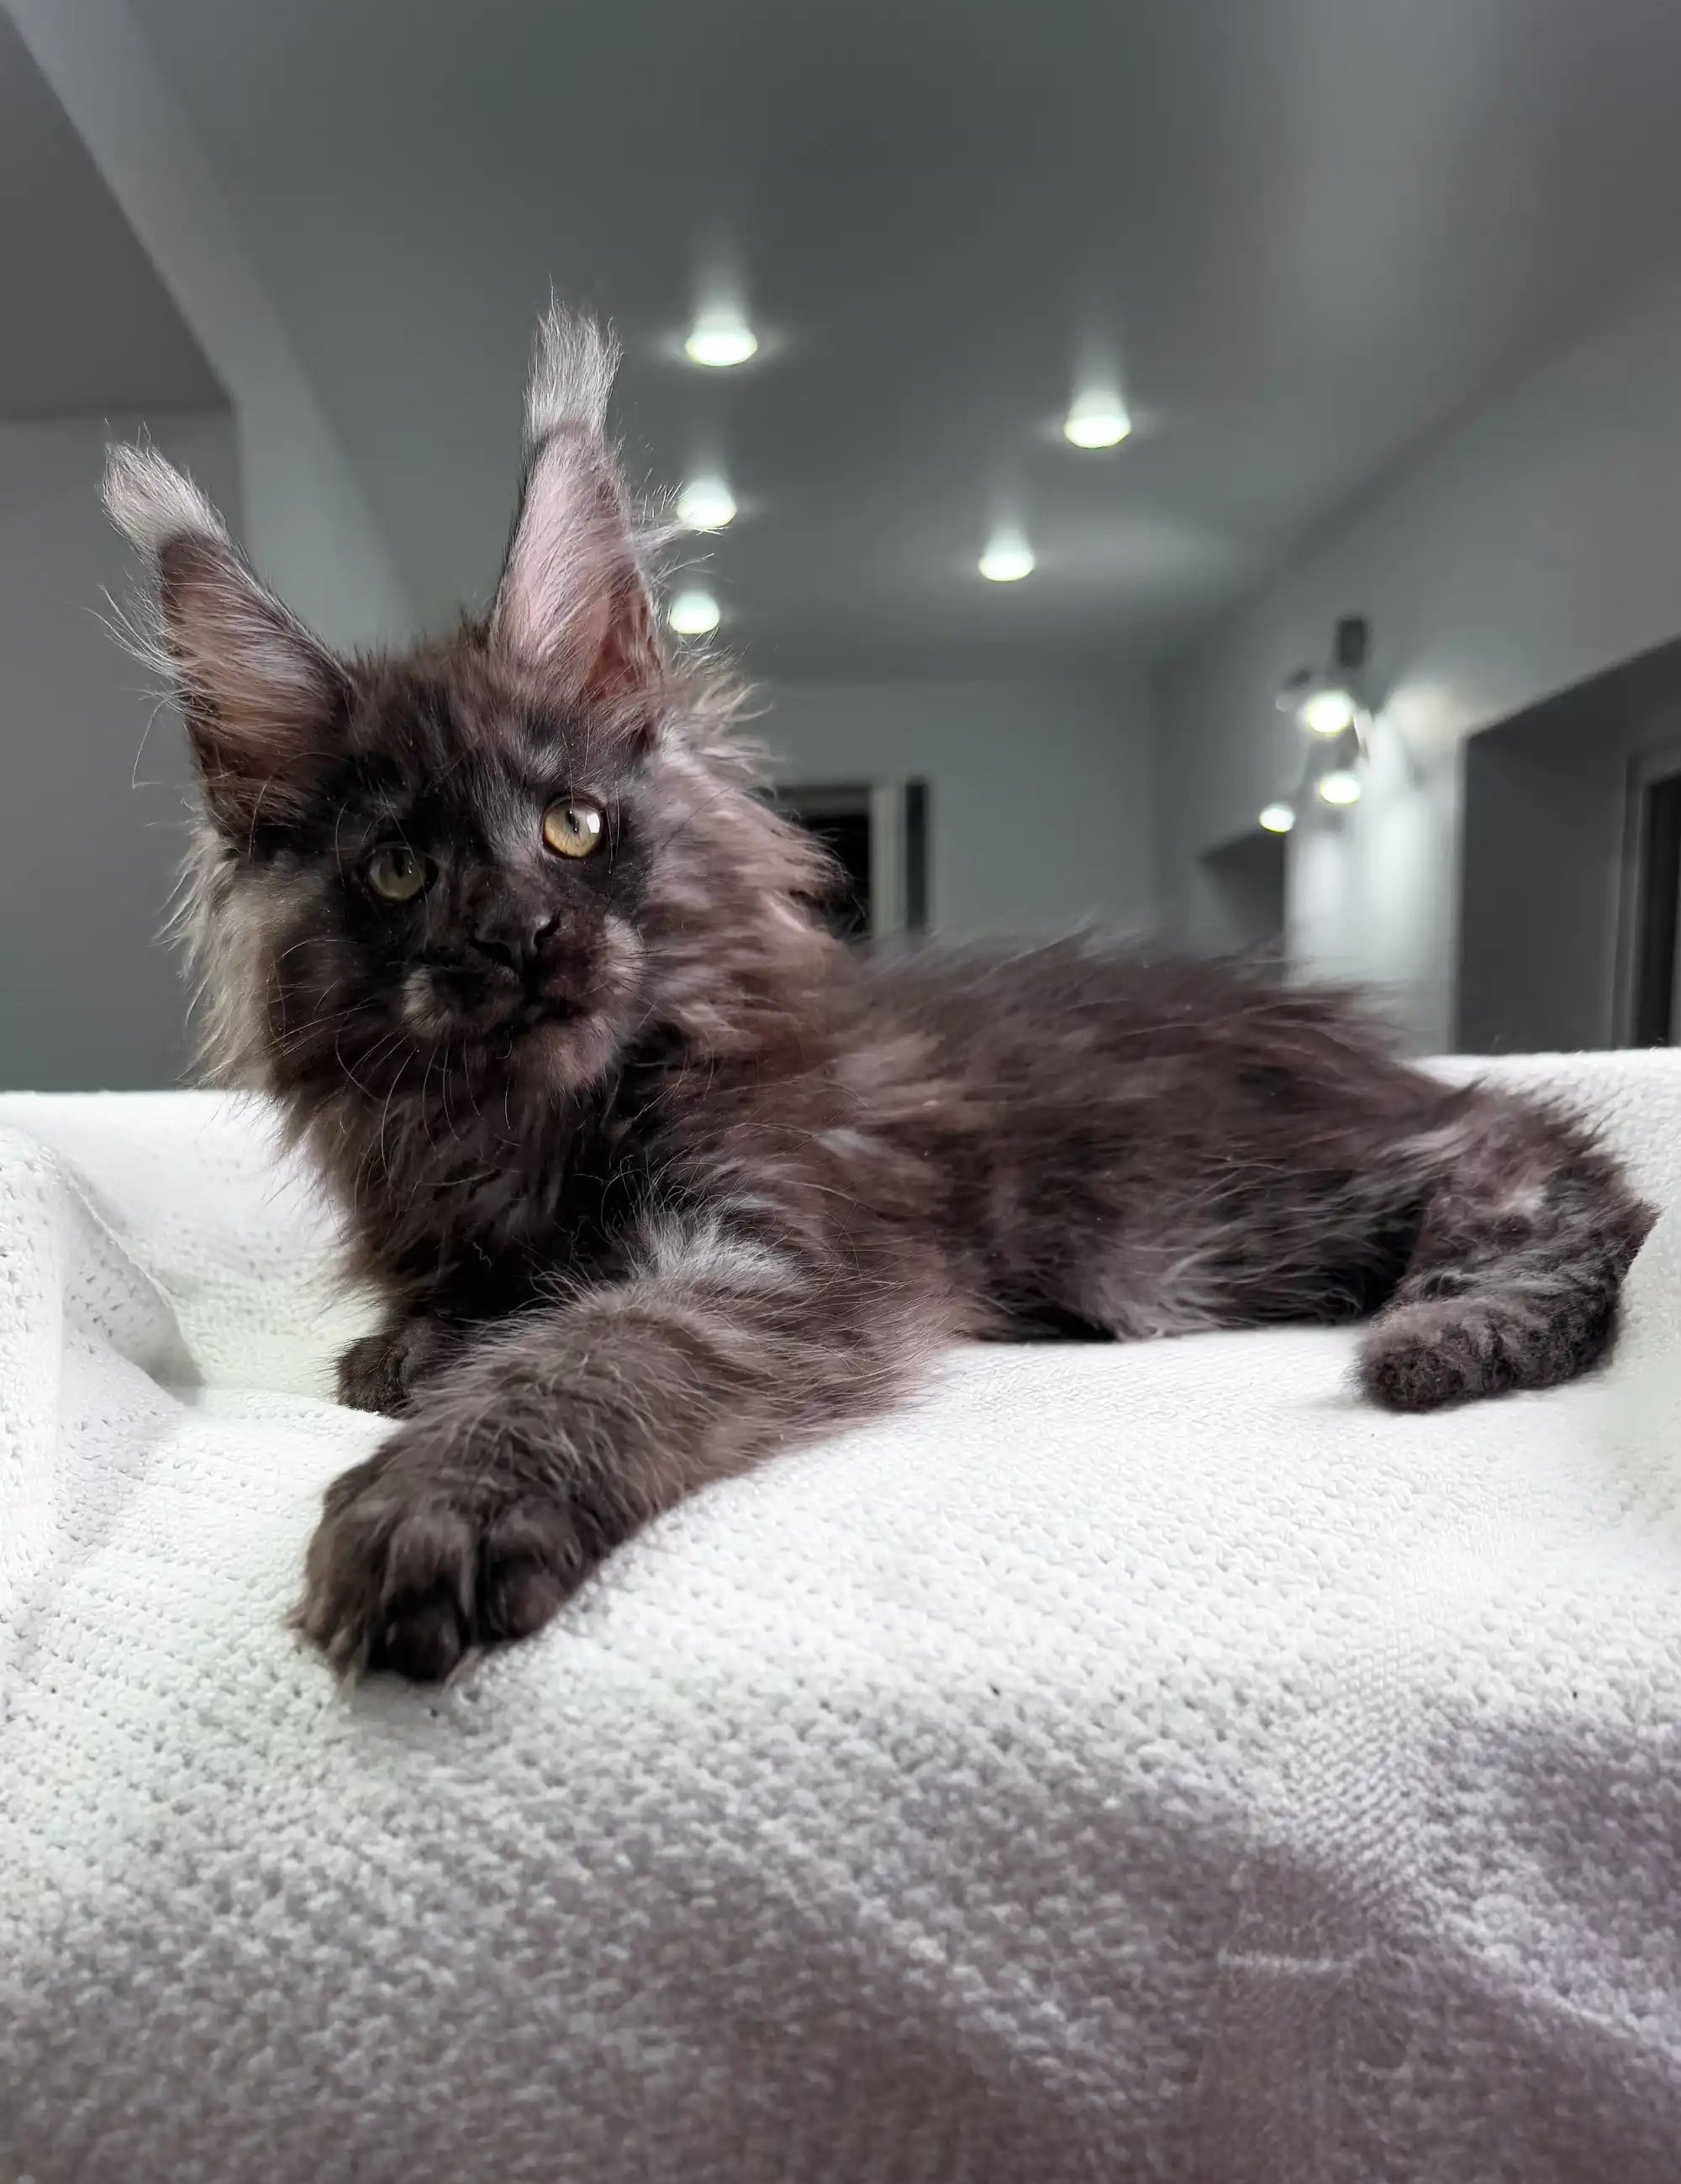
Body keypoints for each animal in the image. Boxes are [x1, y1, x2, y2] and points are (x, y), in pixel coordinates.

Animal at [104, 308, 1650, 1677]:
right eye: (400, 869)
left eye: (574, 825)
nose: (525, 935)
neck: (532, 1128)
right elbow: (435, 1327)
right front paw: (417, 1352)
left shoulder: (789, 1245)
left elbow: (606, 1339)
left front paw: (440, 1502)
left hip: (1198, 1208)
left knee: (1549, 1143)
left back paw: (1456, 1323)